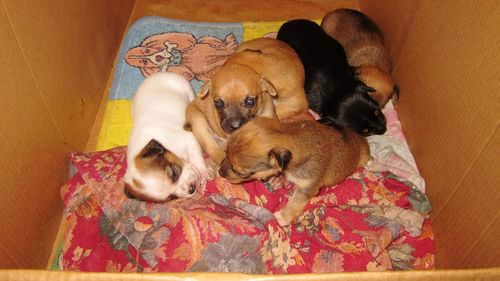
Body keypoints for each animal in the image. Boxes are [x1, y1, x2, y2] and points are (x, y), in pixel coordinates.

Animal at [126, 72, 210, 201]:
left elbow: (197, 158)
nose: (191, 189)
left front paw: (203, 172)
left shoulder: (189, 139)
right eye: (171, 197)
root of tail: (157, 74)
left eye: (174, 173)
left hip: (186, 88)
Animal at [220, 116, 372, 225]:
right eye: (225, 153)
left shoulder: (306, 189)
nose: (220, 173)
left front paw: (281, 218)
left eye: (240, 173)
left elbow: (293, 204)